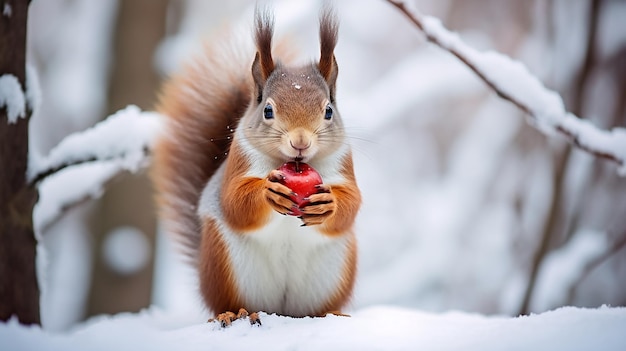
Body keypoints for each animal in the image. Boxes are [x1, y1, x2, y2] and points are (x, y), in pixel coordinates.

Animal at [150, 7, 360, 328]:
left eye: (328, 111)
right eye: (268, 110)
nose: (300, 142)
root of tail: (280, 309)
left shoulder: (344, 161)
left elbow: (352, 202)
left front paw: (329, 203)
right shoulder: (239, 160)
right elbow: (235, 201)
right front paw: (268, 192)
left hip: (334, 272)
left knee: (315, 307)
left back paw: (330, 313)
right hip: (224, 264)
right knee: (227, 301)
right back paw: (234, 313)